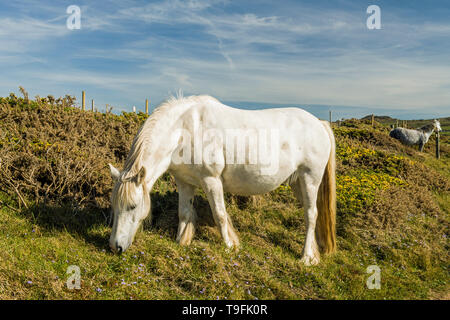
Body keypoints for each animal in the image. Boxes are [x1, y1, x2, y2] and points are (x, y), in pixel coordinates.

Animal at [107, 94, 336, 264]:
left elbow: (220, 214)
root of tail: (319, 123)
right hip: (297, 182)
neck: (184, 131)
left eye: (133, 206)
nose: (115, 246)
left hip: (310, 179)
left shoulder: (211, 180)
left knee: (311, 215)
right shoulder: (184, 182)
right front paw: (181, 241)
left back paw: (306, 257)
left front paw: (229, 246)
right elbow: (184, 212)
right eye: (114, 206)